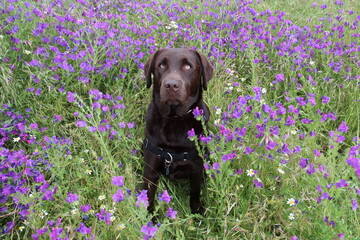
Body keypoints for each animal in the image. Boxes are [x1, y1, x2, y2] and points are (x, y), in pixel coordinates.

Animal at [142, 48, 212, 214]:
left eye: (188, 66)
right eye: (161, 65)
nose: (171, 85)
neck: (174, 120)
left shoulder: (196, 168)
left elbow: (195, 193)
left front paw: (196, 212)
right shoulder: (150, 170)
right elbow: (149, 196)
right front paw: (149, 218)